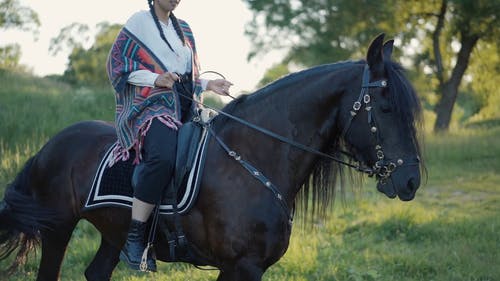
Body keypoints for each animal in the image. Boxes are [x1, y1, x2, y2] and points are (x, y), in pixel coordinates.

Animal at [0, 34, 422, 278]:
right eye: (386, 108)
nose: (411, 181)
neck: (253, 159)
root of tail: (49, 146)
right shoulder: (242, 267)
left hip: (112, 233)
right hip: (57, 229)